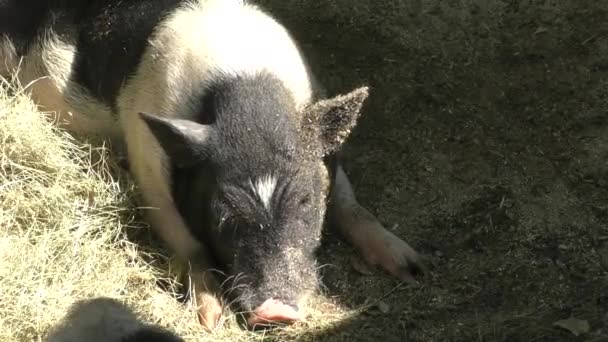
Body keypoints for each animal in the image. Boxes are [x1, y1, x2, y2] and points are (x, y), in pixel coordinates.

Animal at [0, 0, 426, 332]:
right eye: (223, 211)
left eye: (306, 200)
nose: (276, 312)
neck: (249, 99)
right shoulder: (146, 162)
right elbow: (188, 242)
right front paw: (210, 319)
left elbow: (350, 205)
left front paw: (412, 267)